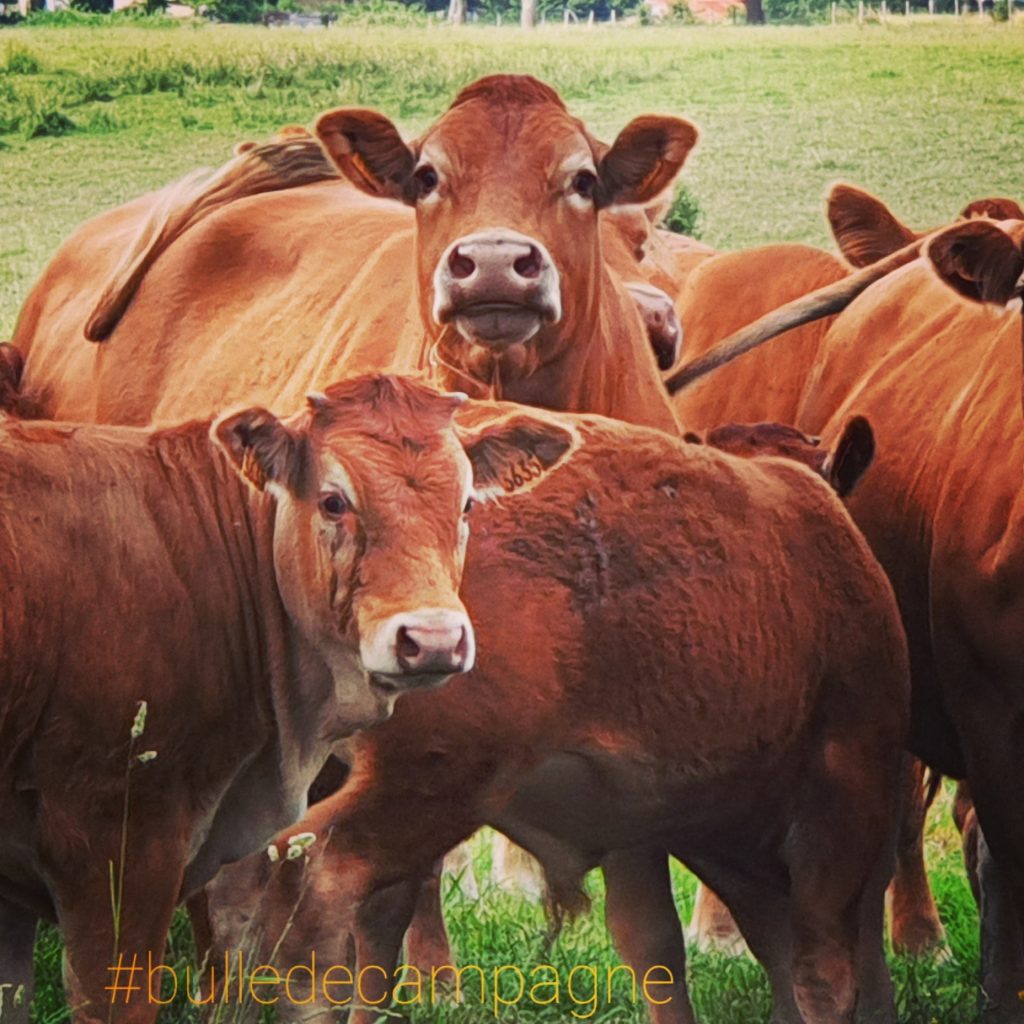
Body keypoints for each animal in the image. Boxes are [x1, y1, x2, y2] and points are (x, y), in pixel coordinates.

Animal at [194, 405, 910, 1024]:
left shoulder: (638, 827)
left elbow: (661, 952)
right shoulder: (845, 794)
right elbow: (822, 974)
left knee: (280, 901)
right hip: (427, 788)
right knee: (312, 883)